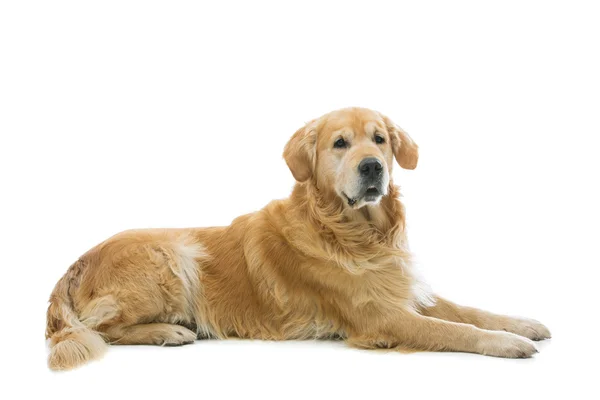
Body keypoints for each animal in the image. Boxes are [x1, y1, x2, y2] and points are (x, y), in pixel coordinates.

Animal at [47, 108, 552, 370]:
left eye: (380, 139)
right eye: (340, 144)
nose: (374, 167)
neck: (355, 232)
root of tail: (72, 267)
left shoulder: (401, 290)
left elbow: (470, 311)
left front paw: (522, 324)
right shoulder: (380, 317)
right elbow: (453, 329)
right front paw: (507, 344)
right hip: (173, 254)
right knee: (101, 329)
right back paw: (168, 331)